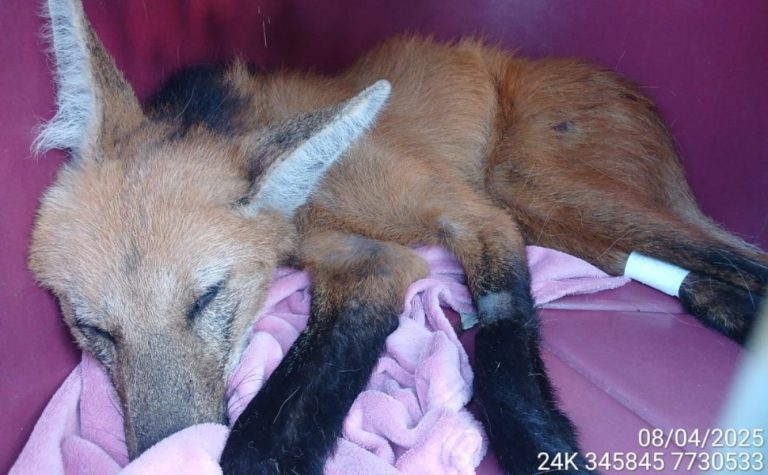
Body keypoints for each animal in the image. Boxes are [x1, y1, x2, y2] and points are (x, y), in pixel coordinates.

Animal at [28, 0, 767, 473]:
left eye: (206, 300)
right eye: (92, 330)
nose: (163, 452)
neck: (313, 197)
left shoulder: (477, 218)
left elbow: (500, 342)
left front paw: (544, 448)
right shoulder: (365, 261)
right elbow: (291, 404)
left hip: (529, 186)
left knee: (745, 259)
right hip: (562, 221)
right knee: (707, 273)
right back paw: (723, 305)